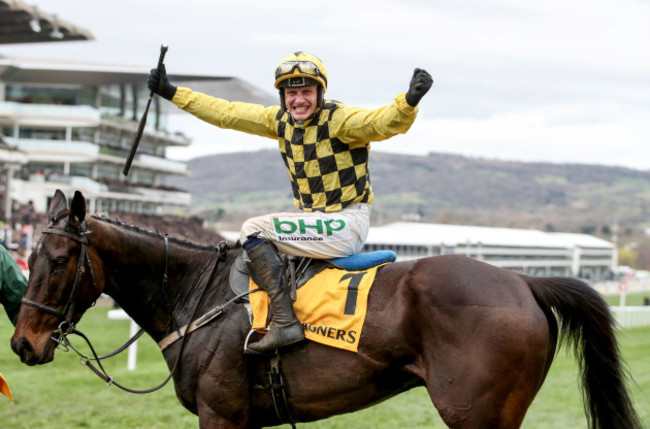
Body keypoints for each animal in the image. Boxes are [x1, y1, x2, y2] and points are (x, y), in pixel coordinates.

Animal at [11, 191, 644, 428]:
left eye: (61, 259)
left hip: (476, 414)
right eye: (29, 254)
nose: (22, 343)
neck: (196, 293)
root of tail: (522, 279)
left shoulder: (220, 416)